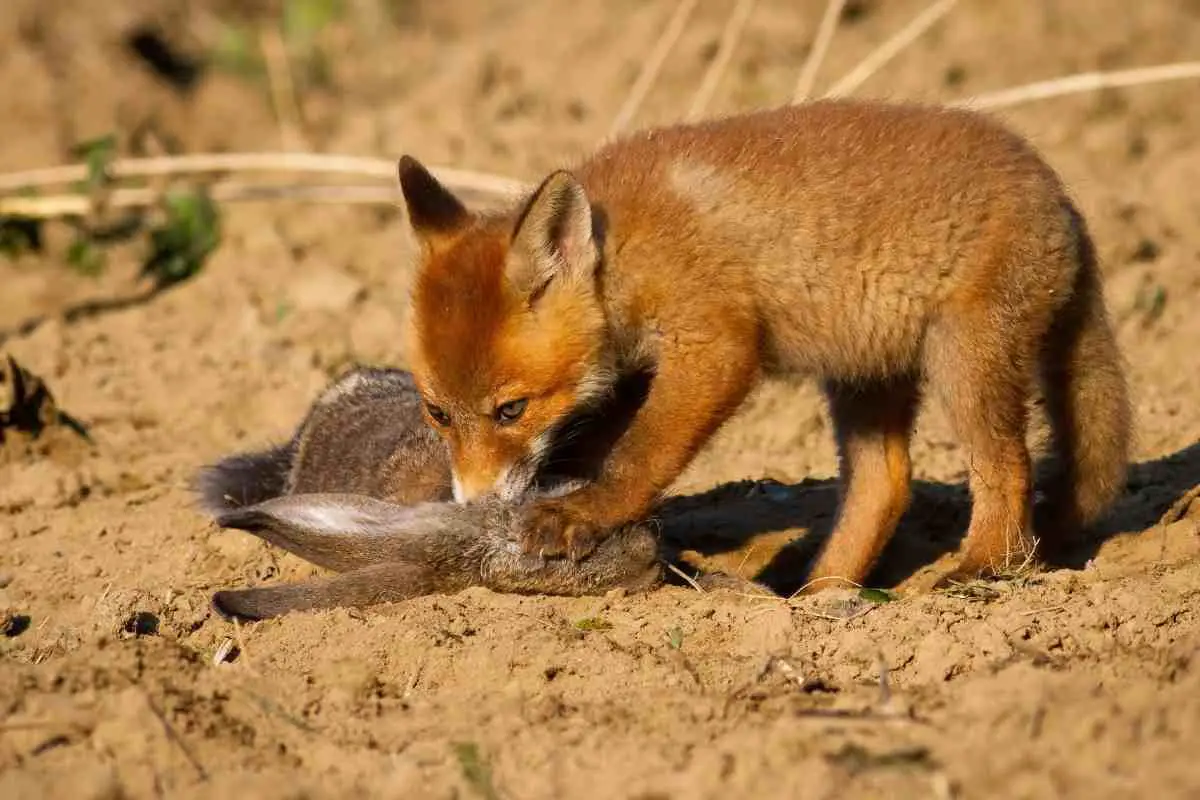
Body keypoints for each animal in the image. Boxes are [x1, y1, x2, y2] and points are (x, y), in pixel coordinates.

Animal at [398, 97, 1128, 592]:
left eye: (510, 411)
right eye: (437, 413)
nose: (474, 505)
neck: (624, 249)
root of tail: (1060, 194)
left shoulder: (713, 347)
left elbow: (638, 455)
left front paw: (584, 513)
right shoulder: (637, 370)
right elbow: (600, 443)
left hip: (963, 362)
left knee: (1006, 467)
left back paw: (979, 568)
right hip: (864, 374)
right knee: (886, 484)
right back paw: (816, 596)